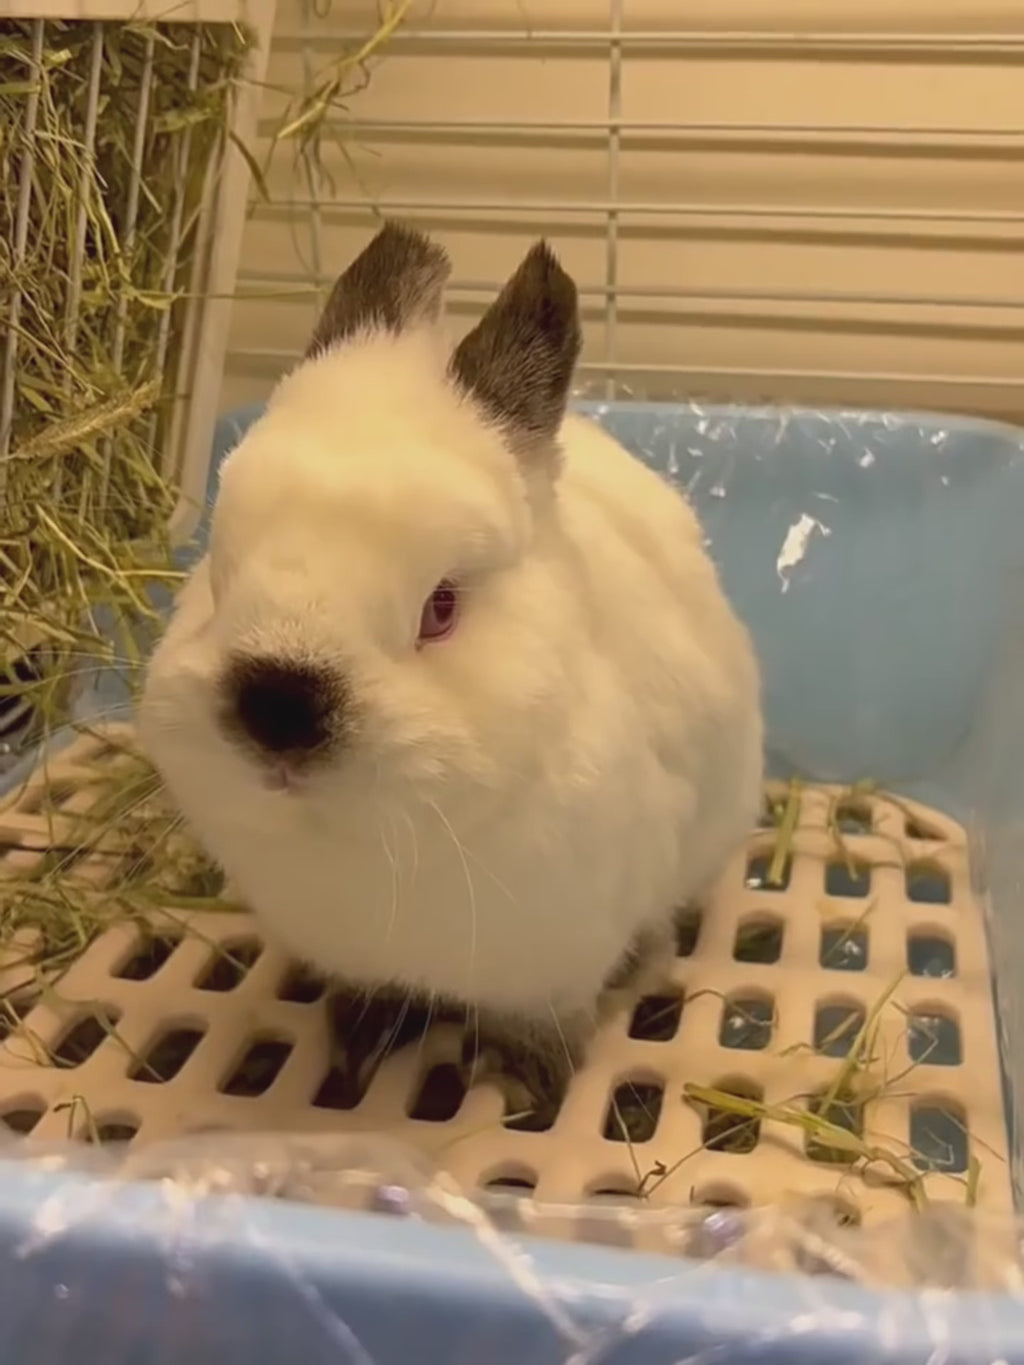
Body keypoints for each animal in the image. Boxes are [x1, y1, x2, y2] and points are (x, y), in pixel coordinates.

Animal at [139, 222, 764, 1124]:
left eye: (440, 607)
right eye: (217, 575)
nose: (278, 710)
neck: (371, 844)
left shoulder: (552, 962)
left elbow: (538, 1022)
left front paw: (519, 1083)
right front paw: (356, 1044)